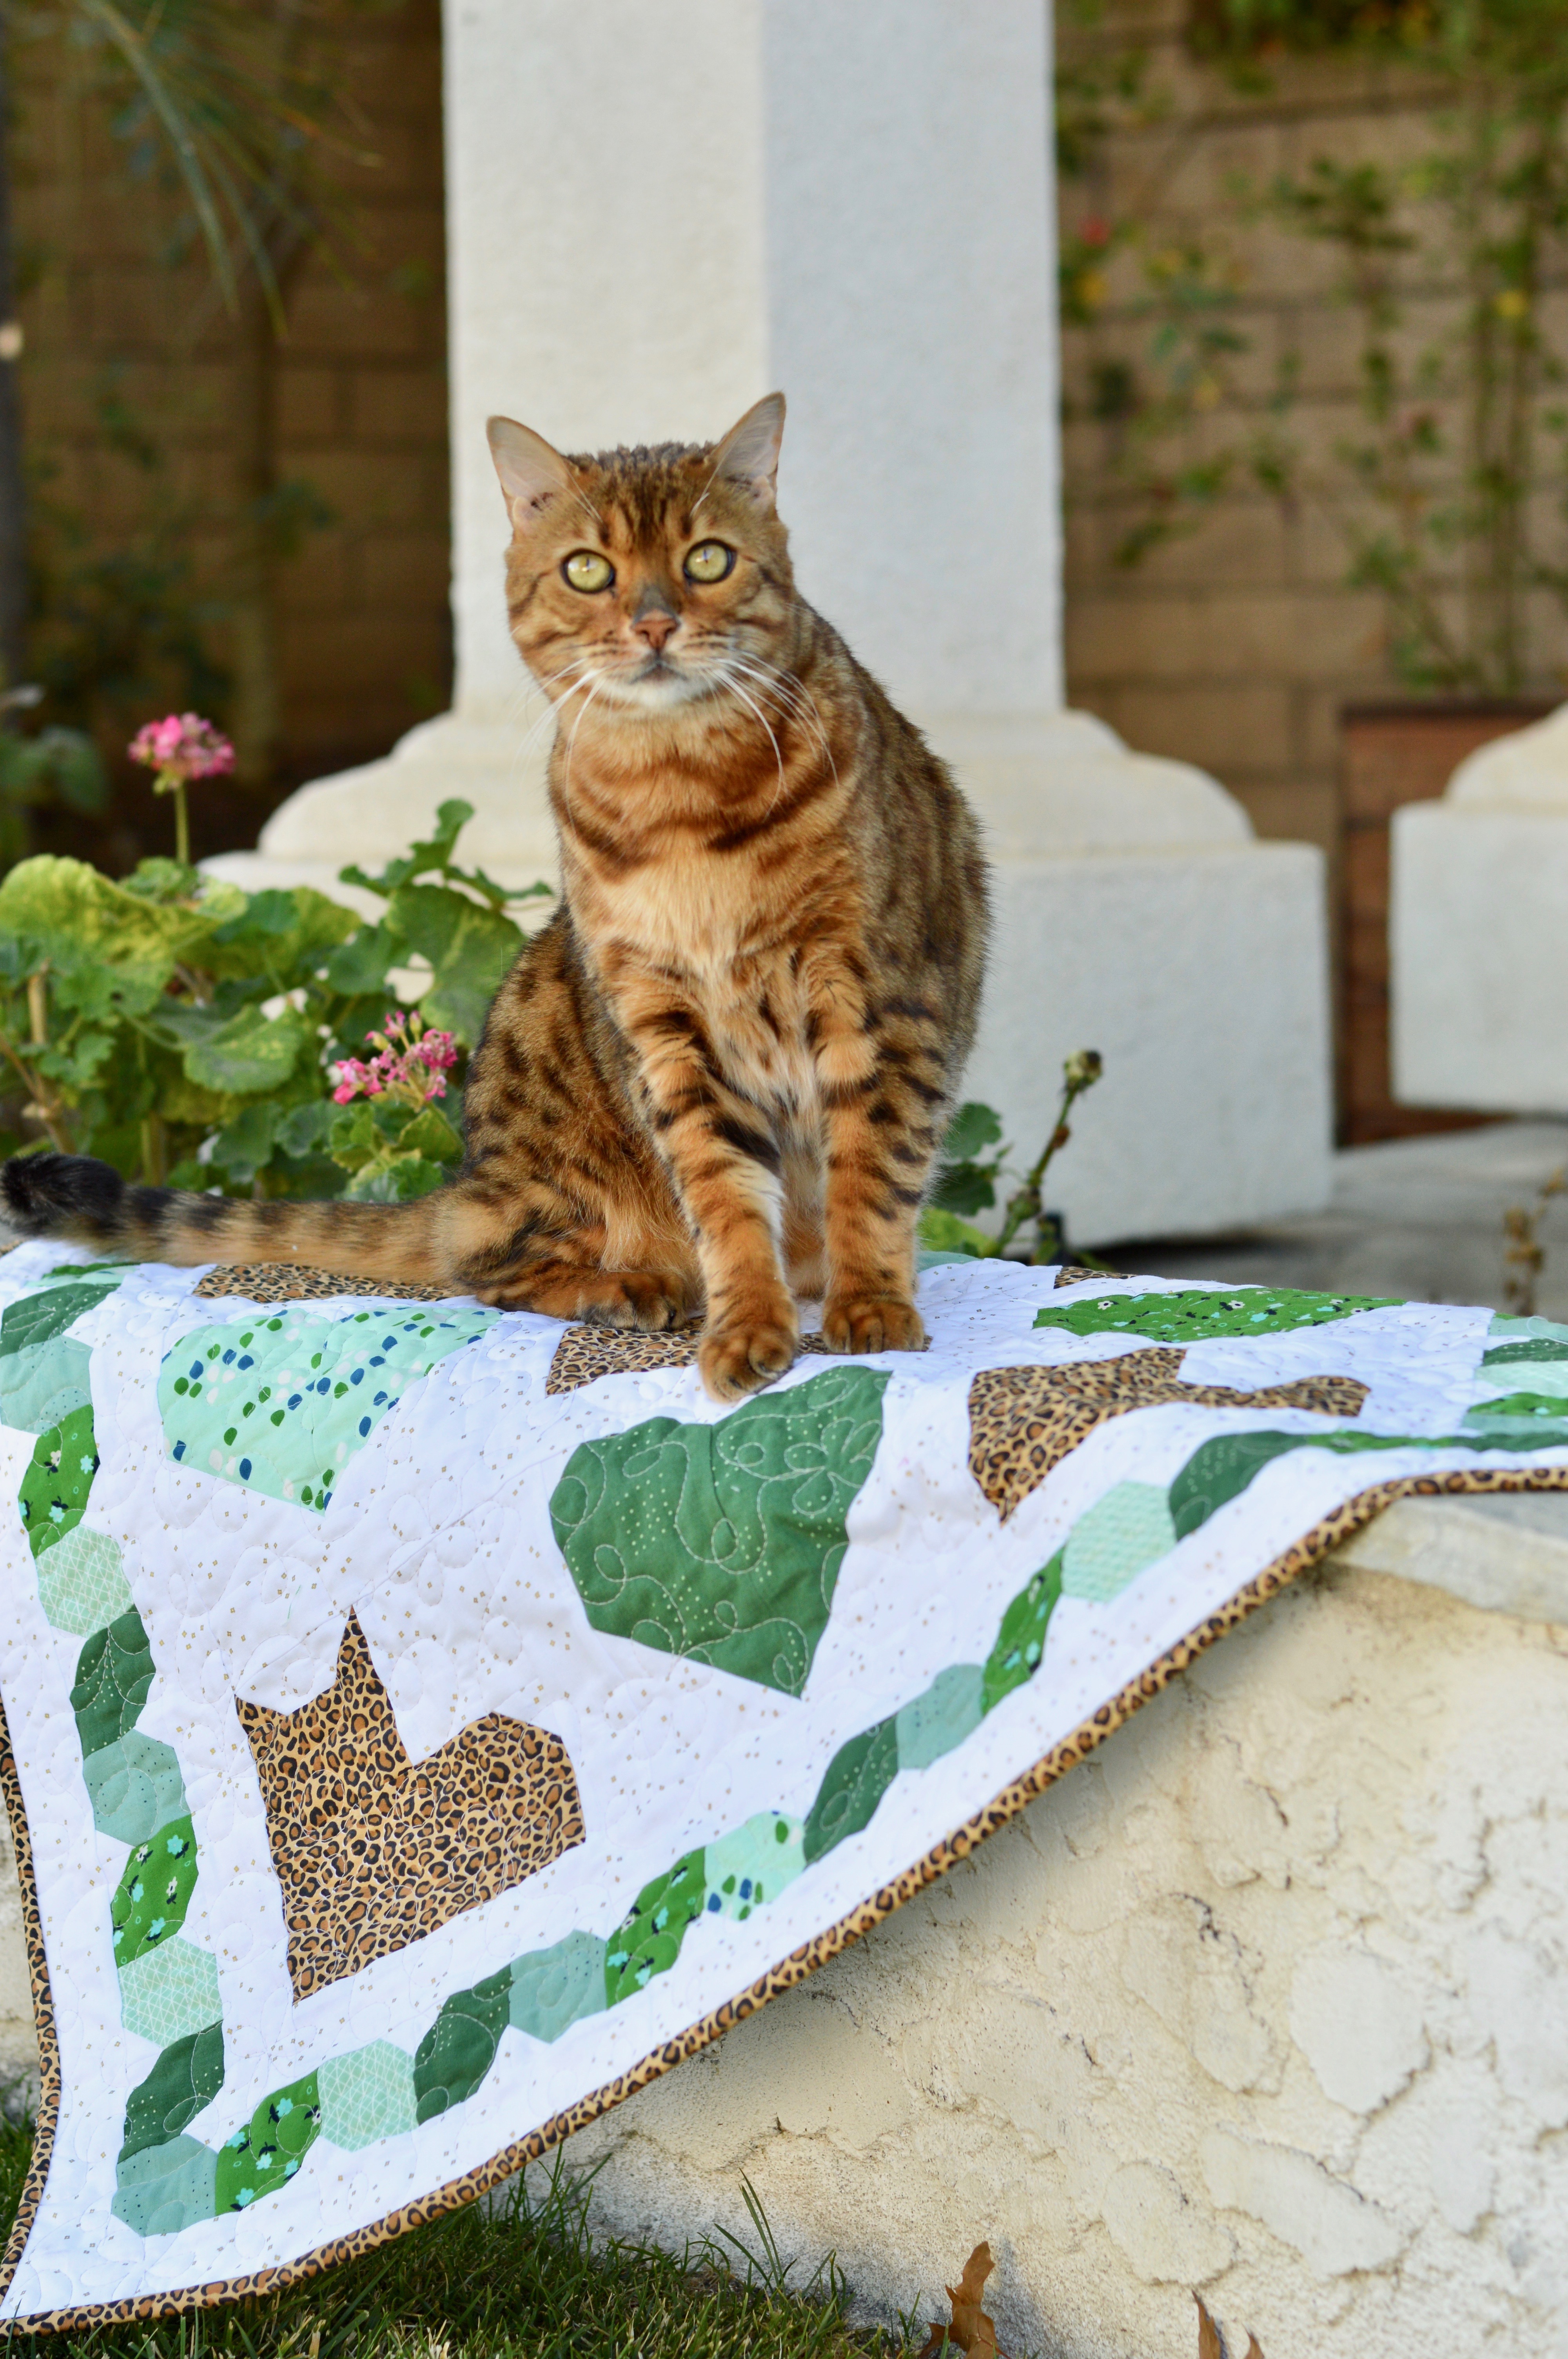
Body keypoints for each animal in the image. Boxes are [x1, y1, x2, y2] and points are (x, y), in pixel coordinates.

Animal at [0, 394, 985, 1387]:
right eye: (588, 569)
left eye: (707, 558)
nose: (654, 625)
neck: (680, 797)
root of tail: (463, 1180)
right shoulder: (663, 1020)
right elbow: (723, 1190)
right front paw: (746, 1322)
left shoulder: (875, 992)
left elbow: (871, 1169)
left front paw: (871, 1305)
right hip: (548, 1046)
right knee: (481, 1261)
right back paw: (629, 1283)